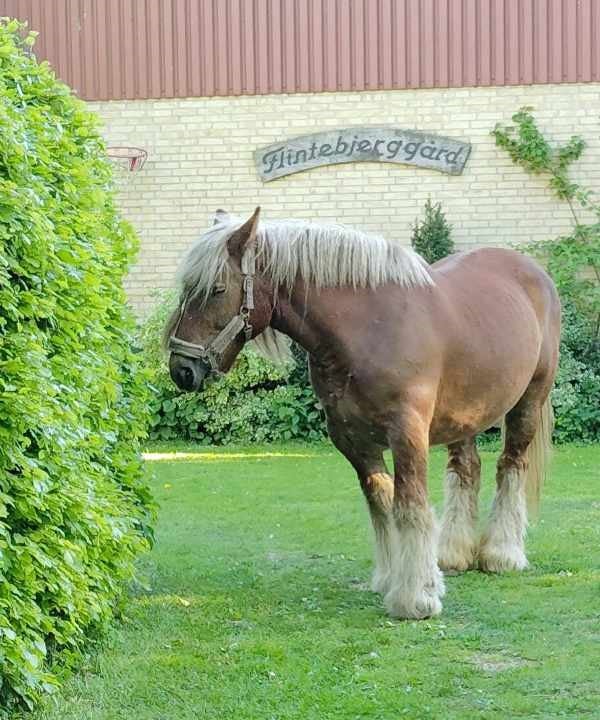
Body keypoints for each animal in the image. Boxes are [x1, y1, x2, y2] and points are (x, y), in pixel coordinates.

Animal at [166, 208, 560, 620]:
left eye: (217, 289)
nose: (182, 370)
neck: (368, 329)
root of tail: (534, 271)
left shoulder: (407, 434)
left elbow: (410, 508)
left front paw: (416, 598)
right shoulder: (353, 440)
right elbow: (382, 507)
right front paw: (395, 579)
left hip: (528, 403)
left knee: (511, 466)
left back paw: (502, 554)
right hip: (465, 415)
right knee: (466, 469)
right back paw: (453, 555)